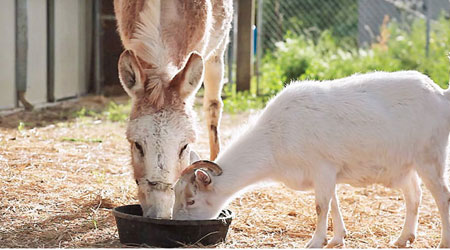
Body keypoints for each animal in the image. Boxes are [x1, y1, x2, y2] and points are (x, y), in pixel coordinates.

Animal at [171, 71, 450, 248]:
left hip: (430, 157)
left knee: (442, 196)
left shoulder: (322, 167)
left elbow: (321, 206)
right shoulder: (328, 174)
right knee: (414, 195)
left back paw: (442, 242)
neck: (274, 138)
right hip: (405, 166)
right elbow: (333, 203)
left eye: (191, 199)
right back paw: (403, 238)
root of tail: (441, 95)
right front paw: (337, 239)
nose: (177, 223)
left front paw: (316, 241)